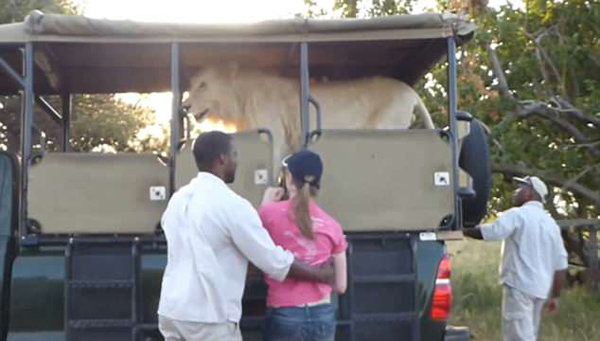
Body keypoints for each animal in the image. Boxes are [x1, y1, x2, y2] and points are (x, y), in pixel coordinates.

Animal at [185, 63, 434, 165]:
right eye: (192, 84)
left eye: (203, 85)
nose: (184, 106)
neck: (240, 98)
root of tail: (411, 91)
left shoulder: (275, 139)